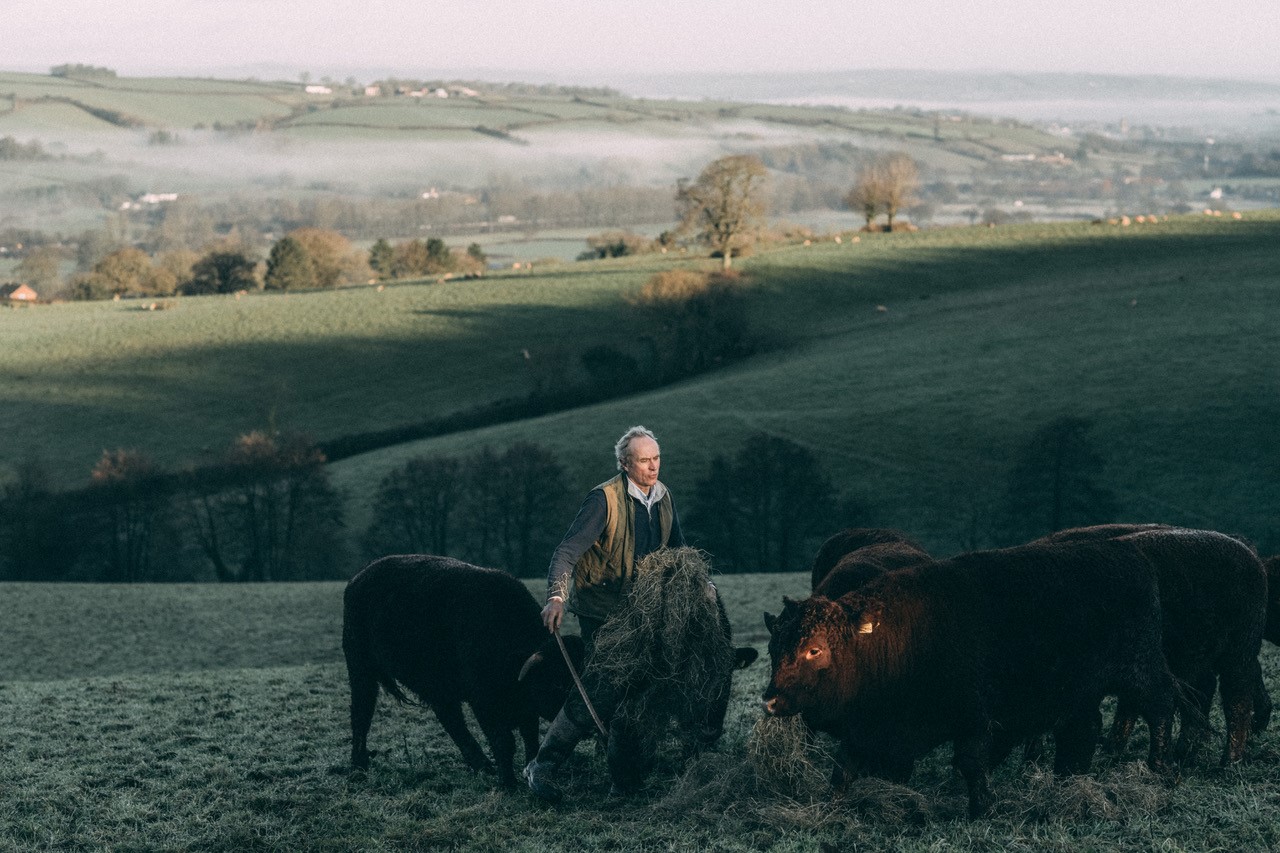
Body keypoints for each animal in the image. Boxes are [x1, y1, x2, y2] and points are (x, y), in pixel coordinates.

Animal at [340, 550, 581, 783]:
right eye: (558, 683)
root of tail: (357, 579)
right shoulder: (483, 703)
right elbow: (504, 741)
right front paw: (508, 782)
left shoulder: (525, 708)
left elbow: (530, 737)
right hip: (360, 668)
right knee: (362, 711)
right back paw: (358, 766)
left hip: (436, 686)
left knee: (451, 720)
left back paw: (482, 765)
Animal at [762, 537, 1172, 819]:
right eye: (772, 648)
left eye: (814, 650)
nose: (770, 700)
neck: (889, 640)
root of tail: (1132, 558)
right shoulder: (869, 727)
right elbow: (843, 769)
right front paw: (830, 808)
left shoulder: (972, 718)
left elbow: (971, 762)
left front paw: (981, 808)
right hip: (1080, 692)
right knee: (1083, 729)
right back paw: (1068, 779)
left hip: (1140, 674)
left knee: (1161, 710)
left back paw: (1160, 770)